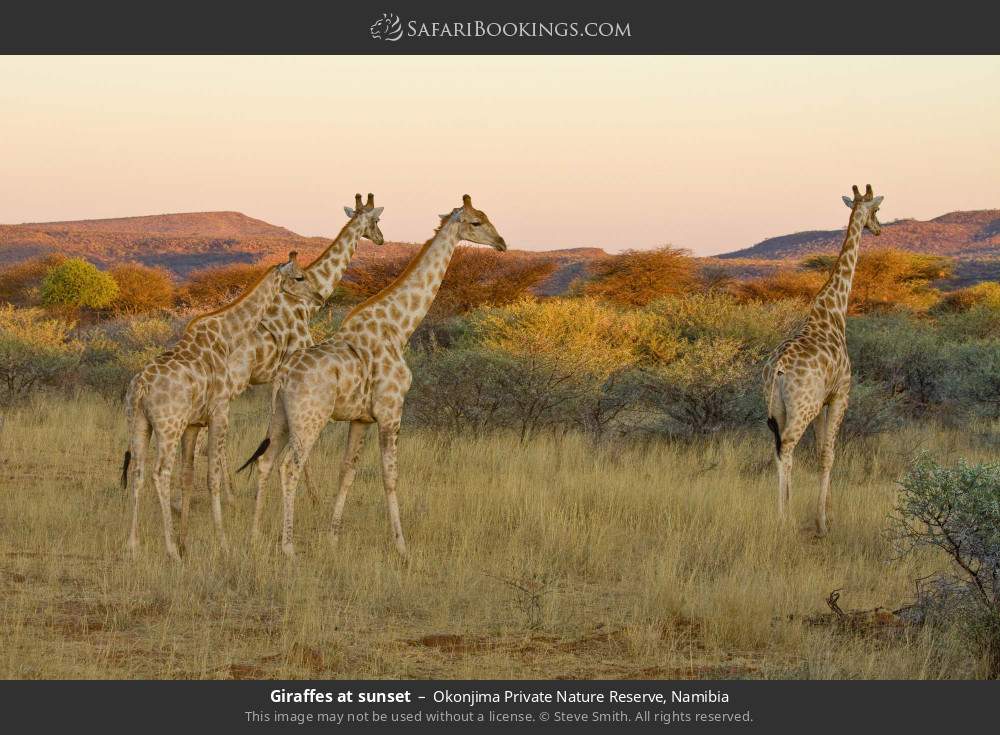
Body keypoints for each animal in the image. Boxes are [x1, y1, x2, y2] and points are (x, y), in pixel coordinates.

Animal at [122, 253, 316, 556]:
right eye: (300, 277)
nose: (317, 297)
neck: (226, 336)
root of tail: (141, 386)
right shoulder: (220, 412)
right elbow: (211, 476)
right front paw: (221, 541)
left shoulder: (193, 423)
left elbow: (188, 476)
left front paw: (185, 541)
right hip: (168, 426)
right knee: (160, 473)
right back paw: (169, 549)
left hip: (138, 422)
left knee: (138, 471)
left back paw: (133, 544)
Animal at [172, 193, 382, 508]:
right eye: (377, 220)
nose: (381, 239)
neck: (305, 305)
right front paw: (312, 495)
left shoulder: (276, 378)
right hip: (229, 385)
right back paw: (223, 496)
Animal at [239, 196, 508, 556]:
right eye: (476, 222)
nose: (502, 243)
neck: (398, 326)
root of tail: (282, 377)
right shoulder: (391, 411)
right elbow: (390, 475)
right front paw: (401, 547)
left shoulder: (361, 418)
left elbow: (347, 471)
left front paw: (333, 538)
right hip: (310, 419)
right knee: (289, 468)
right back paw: (288, 547)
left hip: (279, 416)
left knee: (266, 462)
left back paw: (254, 536)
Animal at [764, 185, 884, 536]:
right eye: (876, 210)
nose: (878, 229)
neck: (834, 312)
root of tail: (777, 370)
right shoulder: (840, 393)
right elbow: (829, 454)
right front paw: (823, 522)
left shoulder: (821, 402)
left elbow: (819, 452)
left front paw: (823, 515)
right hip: (800, 408)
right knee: (787, 448)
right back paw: (784, 520)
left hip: (778, 408)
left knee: (777, 450)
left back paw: (784, 514)